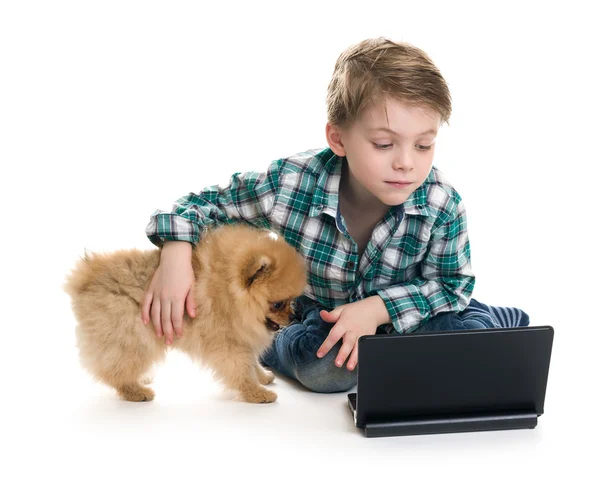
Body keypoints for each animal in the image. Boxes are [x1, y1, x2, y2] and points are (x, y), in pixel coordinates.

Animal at [63, 224, 308, 404]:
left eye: (293, 301)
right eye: (277, 304)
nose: (293, 317)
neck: (229, 293)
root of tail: (85, 277)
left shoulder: (242, 338)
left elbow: (252, 361)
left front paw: (262, 376)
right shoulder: (228, 343)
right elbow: (241, 370)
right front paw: (257, 393)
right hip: (132, 335)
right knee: (113, 369)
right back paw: (136, 391)